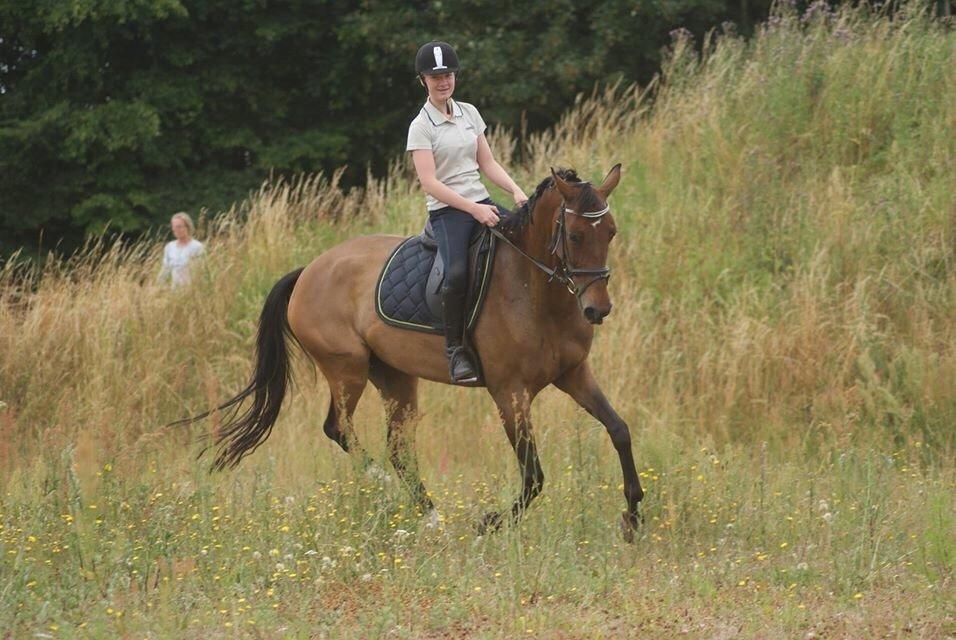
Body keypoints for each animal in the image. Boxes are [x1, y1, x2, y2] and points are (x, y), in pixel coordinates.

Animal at [192, 164, 644, 540]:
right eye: (575, 236)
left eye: (611, 232)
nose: (597, 310)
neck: (533, 290)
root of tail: (309, 271)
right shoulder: (510, 394)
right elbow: (533, 476)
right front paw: (489, 522)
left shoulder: (574, 373)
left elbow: (619, 429)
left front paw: (633, 516)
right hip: (347, 370)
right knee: (339, 429)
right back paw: (387, 487)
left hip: (395, 377)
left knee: (397, 449)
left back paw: (430, 515)